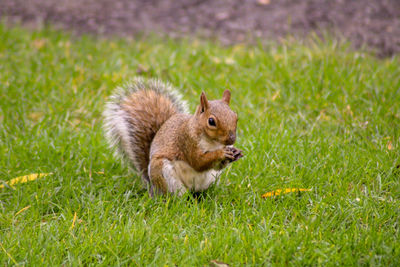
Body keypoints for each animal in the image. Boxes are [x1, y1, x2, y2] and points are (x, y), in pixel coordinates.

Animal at [101, 78, 242, 197]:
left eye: (236, 117)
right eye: (211, 121)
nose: (231, 139)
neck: (213, 142)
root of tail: (152, 187)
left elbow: (217, 165)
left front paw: (235, 153)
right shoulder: (186, 141)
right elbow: (198, 162)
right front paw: (221, 153)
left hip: (211, 178)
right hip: (165, 175)